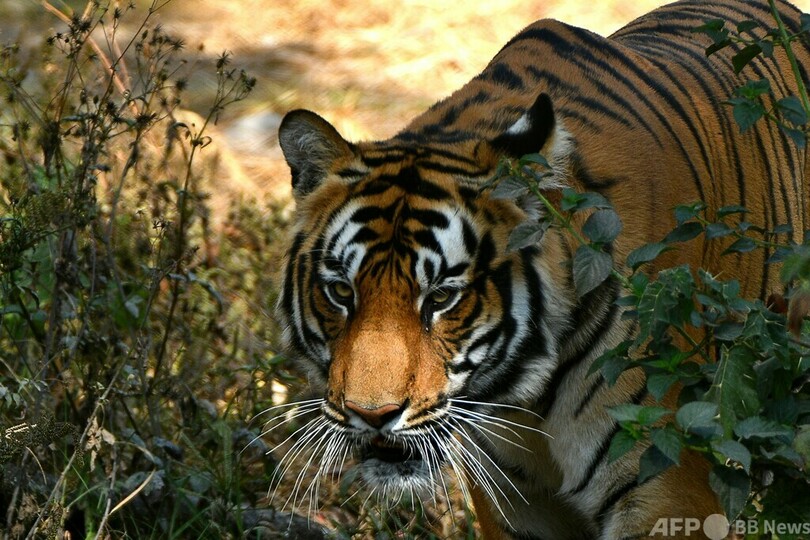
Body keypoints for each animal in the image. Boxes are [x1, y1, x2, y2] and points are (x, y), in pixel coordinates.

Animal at [274, 0, 809, 538]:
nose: (372, 415)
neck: (525, 400)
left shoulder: (665, 484)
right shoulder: (512, 499)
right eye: (342, 293)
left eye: (442, 297)